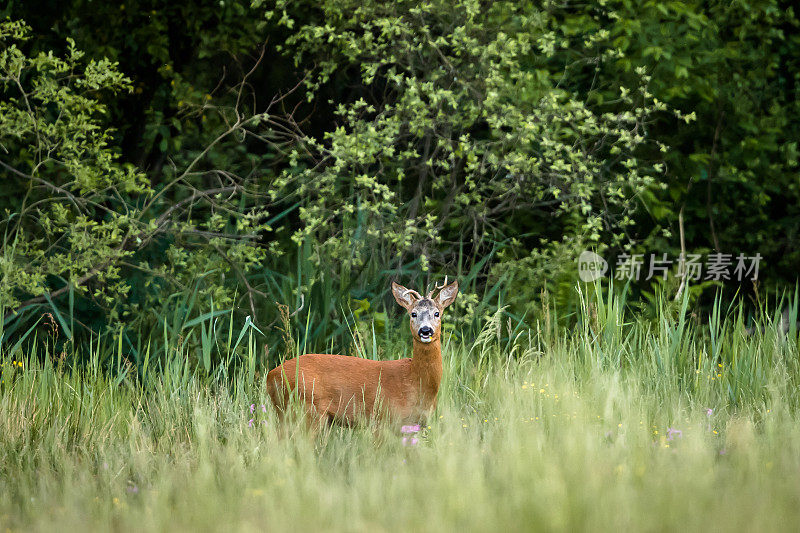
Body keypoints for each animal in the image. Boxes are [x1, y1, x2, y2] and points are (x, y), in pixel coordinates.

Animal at [266, 276, 460, 426]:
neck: (414, 382)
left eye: (437, 313)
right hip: (307, 410)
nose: (425, 331)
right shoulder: (382, 419)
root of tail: (271, 375)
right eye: (413, 313)